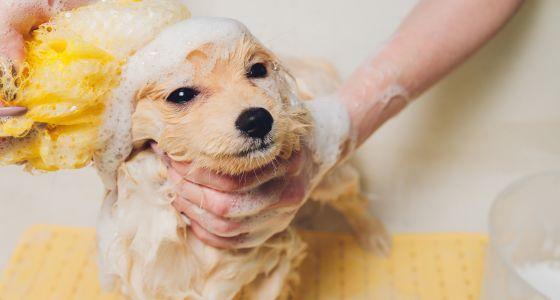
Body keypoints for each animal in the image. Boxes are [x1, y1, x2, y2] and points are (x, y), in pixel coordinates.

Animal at [97, 17, 390, 300]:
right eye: (180, 94)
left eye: (258, 69)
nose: (257, 120)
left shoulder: (275, 261)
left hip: (331, 172)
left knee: (353, 200)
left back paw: (374, 236)